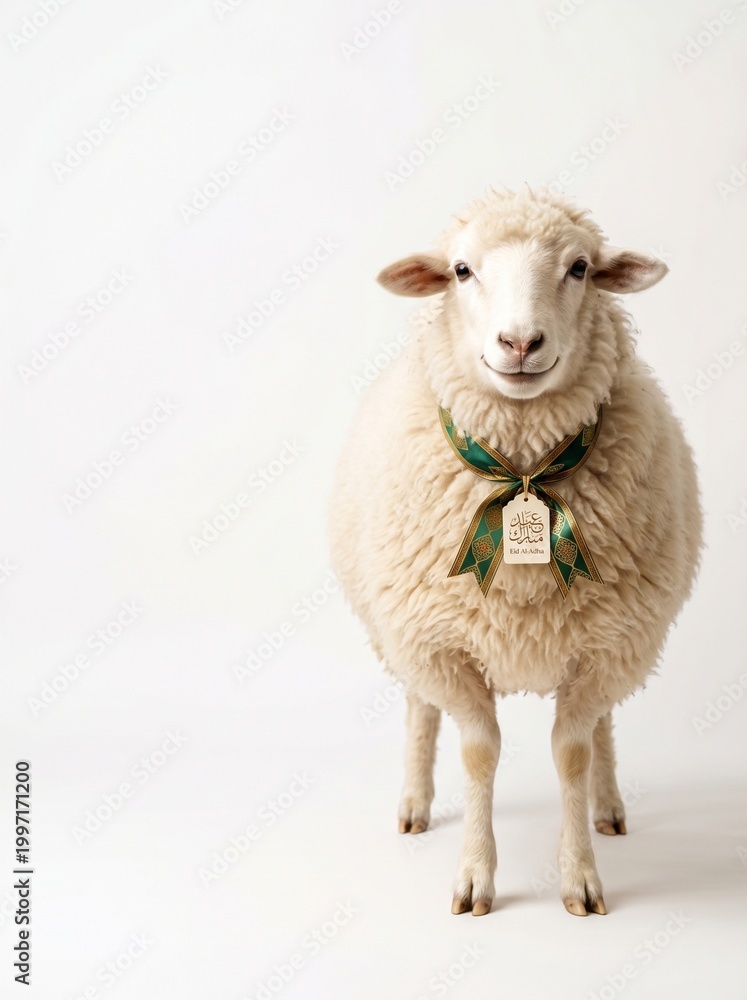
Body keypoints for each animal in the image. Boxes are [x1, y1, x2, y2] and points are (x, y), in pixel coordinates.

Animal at [329, 187, 701, 917]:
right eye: (461, 270)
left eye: (580, 268)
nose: (520, 342)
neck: (524, 472)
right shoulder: (442, 645)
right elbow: (478, 753)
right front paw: (475, 876)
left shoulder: (606, 646)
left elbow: (572, 753)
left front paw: (579, 875)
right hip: (400, 630)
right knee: (418, 709)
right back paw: (414, 804)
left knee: (604, 726)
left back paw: (607, 807)